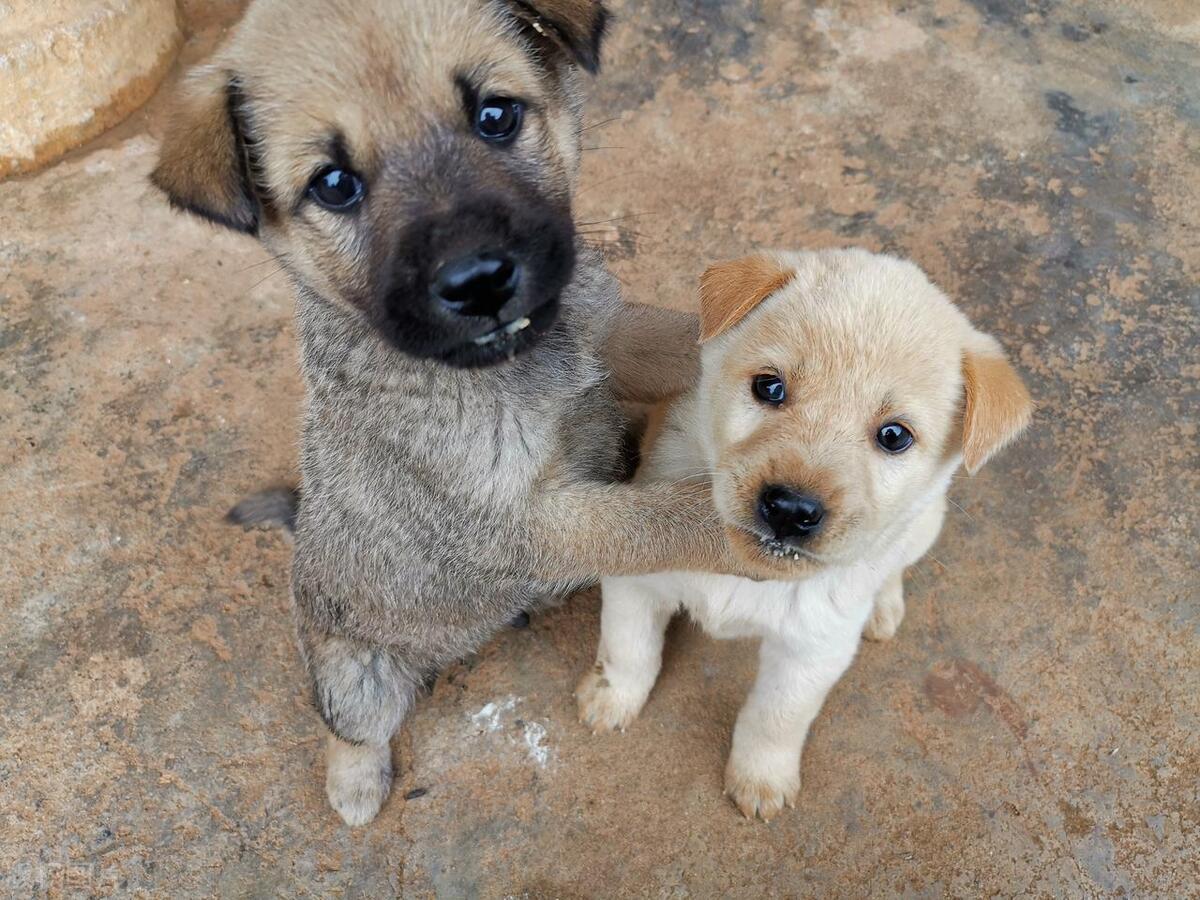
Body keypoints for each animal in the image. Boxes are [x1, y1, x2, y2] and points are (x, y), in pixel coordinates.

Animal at [153, 0, 744, 830]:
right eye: (334, 184)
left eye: (495, 116)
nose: (480, 281)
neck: (513, 368)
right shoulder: (512, 524)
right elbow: (660, 518)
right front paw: (760, 526)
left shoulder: (612, 335)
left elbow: (690, 340)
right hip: (354, 672)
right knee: (347, 727)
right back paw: (355, 786)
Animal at [576, 248, 1036, 825]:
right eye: (769, 387)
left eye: (894, 436)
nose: (791, 510)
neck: (745, 573)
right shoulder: (635, 577)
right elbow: (628, 648)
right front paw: (611, 699)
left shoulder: (813, 649)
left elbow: (775, 717)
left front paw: (761, 779)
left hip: (927, 523)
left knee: (895, 564)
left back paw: (883, 608)